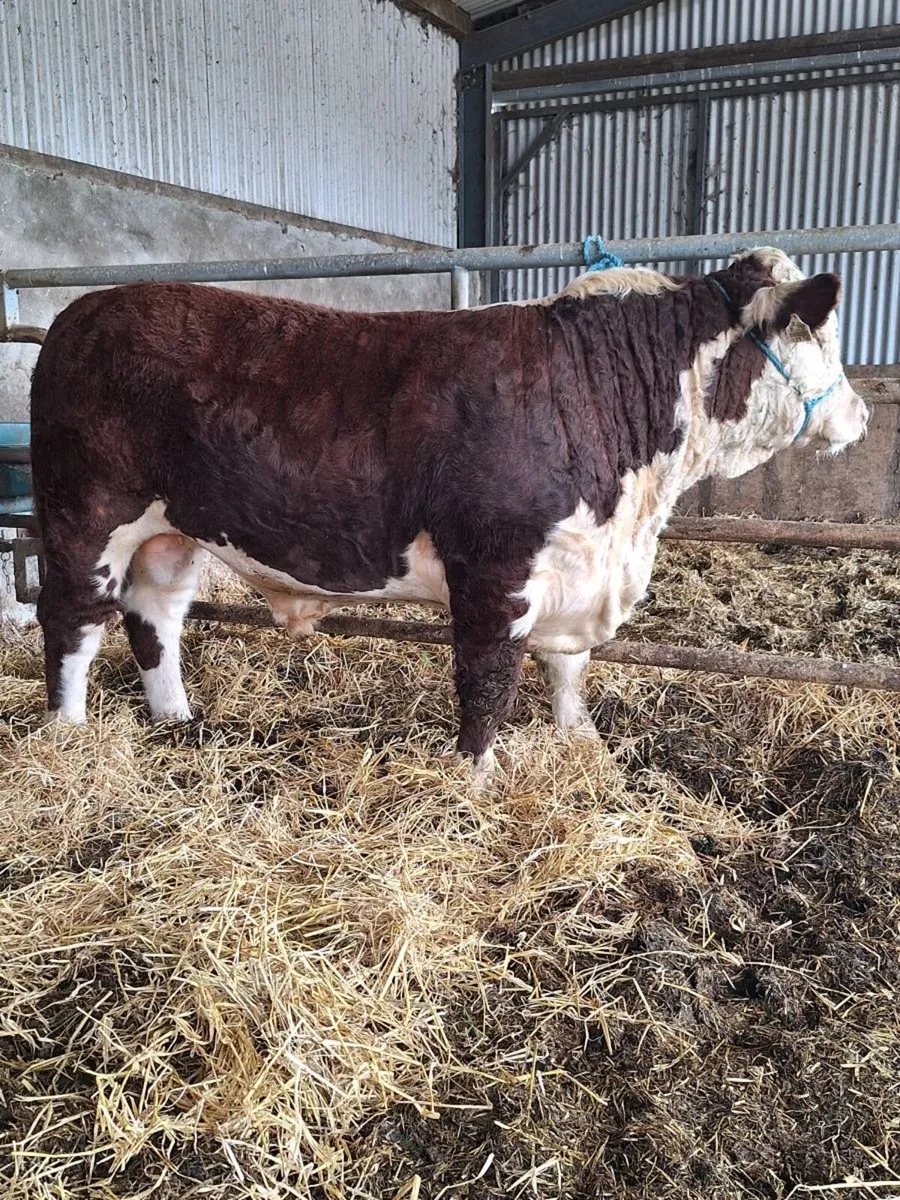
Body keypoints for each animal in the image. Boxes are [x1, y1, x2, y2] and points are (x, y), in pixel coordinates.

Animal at [30, 248, 868, 783]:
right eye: (821, 336)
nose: (860, 416)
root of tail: (84, 309)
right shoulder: (495, 568)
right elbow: (489, 680)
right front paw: (476, 777)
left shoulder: (579, 564)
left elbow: (569, 666)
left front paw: (580, 743)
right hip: (84, 514)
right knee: (73, 620)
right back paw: (66, 737)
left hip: (169, 530)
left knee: (156, 616)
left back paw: (177, 720)